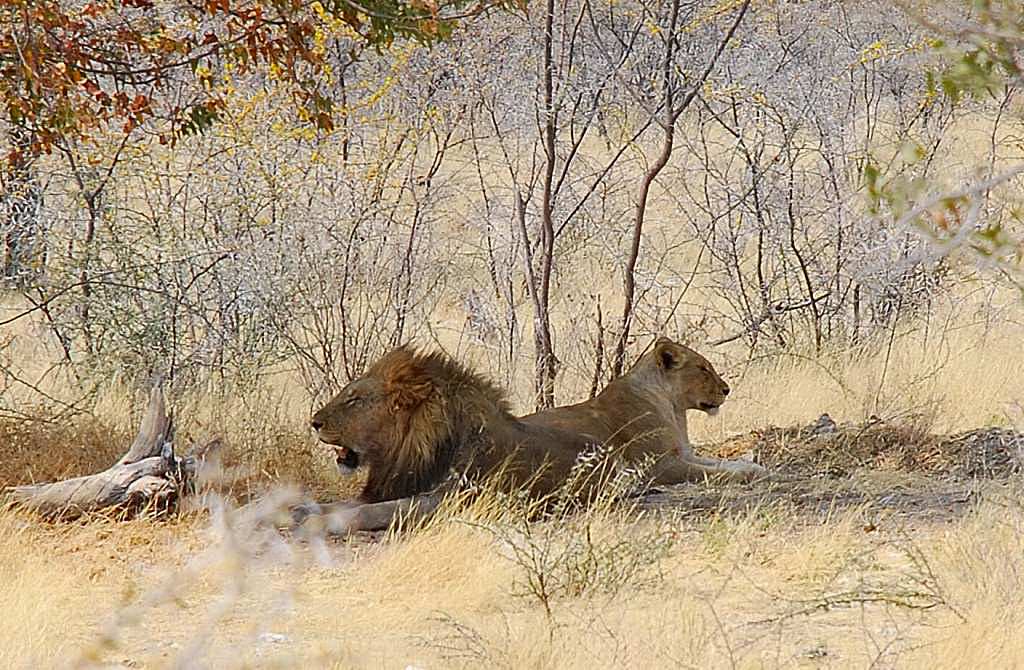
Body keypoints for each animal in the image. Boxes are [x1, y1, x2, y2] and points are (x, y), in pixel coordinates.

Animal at [303, 338, 767, 533]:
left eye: (354, 399)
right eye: (703, 368)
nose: (314, 421)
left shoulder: (457, 499)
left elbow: (719, 466)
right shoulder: (667, 464)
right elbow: (359, 505)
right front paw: (308, 511)